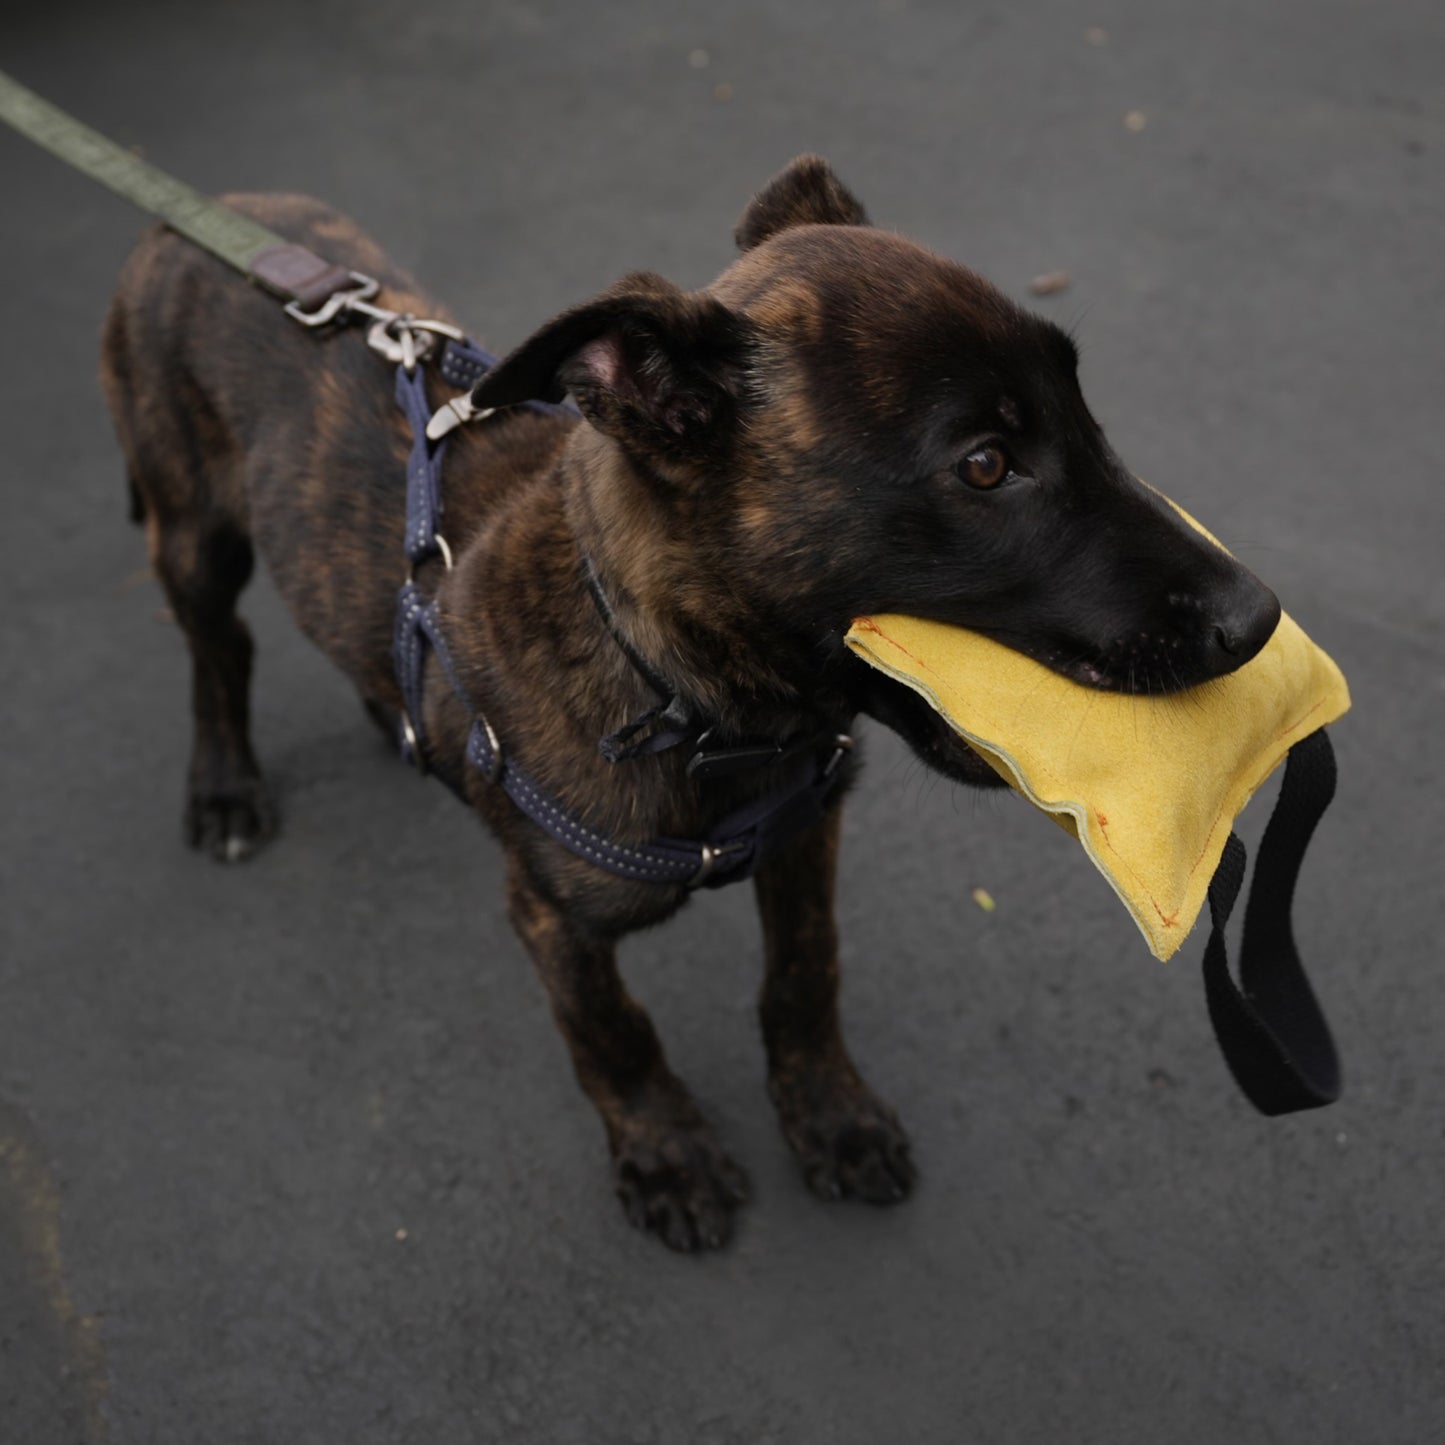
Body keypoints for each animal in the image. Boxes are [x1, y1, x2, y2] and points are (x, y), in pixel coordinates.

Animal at [101, 152, 1277, 1248]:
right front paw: (666, 1153)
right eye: (985, 465)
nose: (1256, 618)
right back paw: (225, 786)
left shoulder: (805, 841)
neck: (682, 695)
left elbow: (803, 979)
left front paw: (829, 1116)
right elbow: (615, 1033)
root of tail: (197, 220)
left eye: (1084, 412)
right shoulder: (551, 917)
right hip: (189, 532)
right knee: (219, 649)